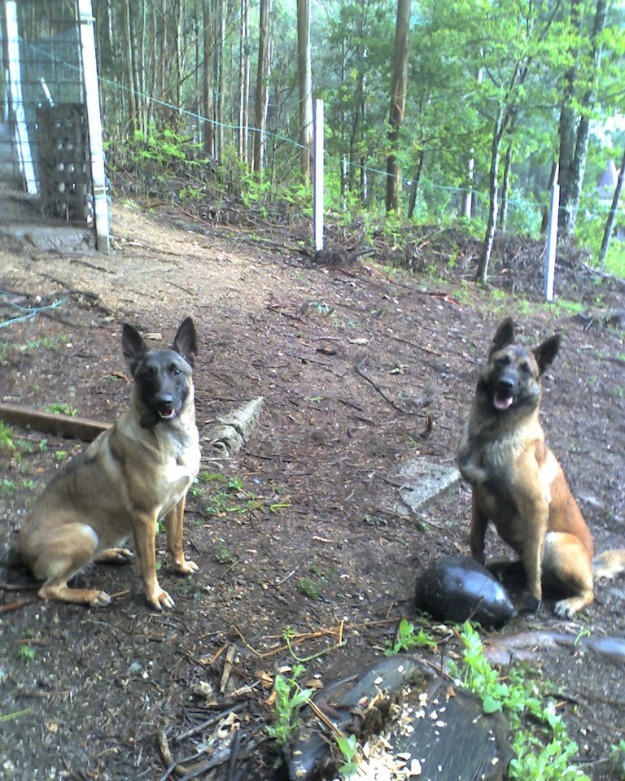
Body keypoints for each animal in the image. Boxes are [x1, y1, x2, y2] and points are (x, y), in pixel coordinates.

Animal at [454, 316, 624, 616]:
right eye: (502, 361)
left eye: (526, 370)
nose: (506, 384)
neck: (493, 435)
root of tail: (591, 564)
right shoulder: (478, 496)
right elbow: (476, 537)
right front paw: (478, 565)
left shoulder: (535, 505)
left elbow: (534, 561)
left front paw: (532, 598)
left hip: (555, 542)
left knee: (588, 590)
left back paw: (569, 602)